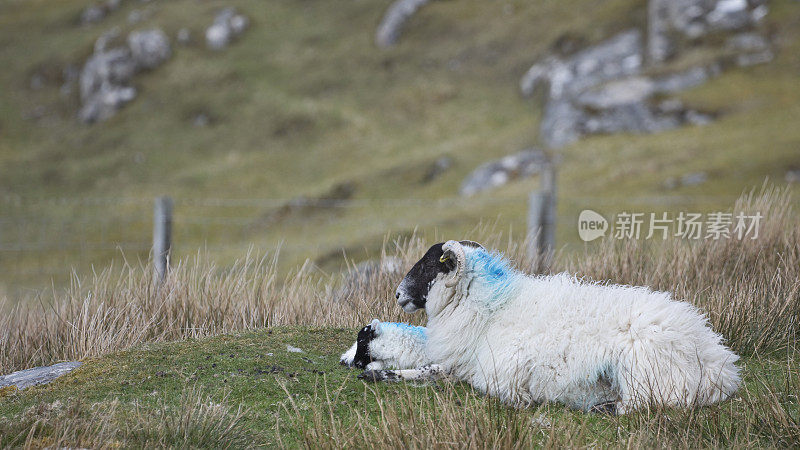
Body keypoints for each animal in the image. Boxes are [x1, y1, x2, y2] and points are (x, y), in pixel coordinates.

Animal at [364, 239, 744, 414]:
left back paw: (605, 407)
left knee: (646, 403)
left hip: (642, 368)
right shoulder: (463, 363)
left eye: (429, 264)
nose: (397, 294)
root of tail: (720, 364)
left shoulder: (496, 374)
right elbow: (430, 370)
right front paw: (380, 373)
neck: (488, 309)